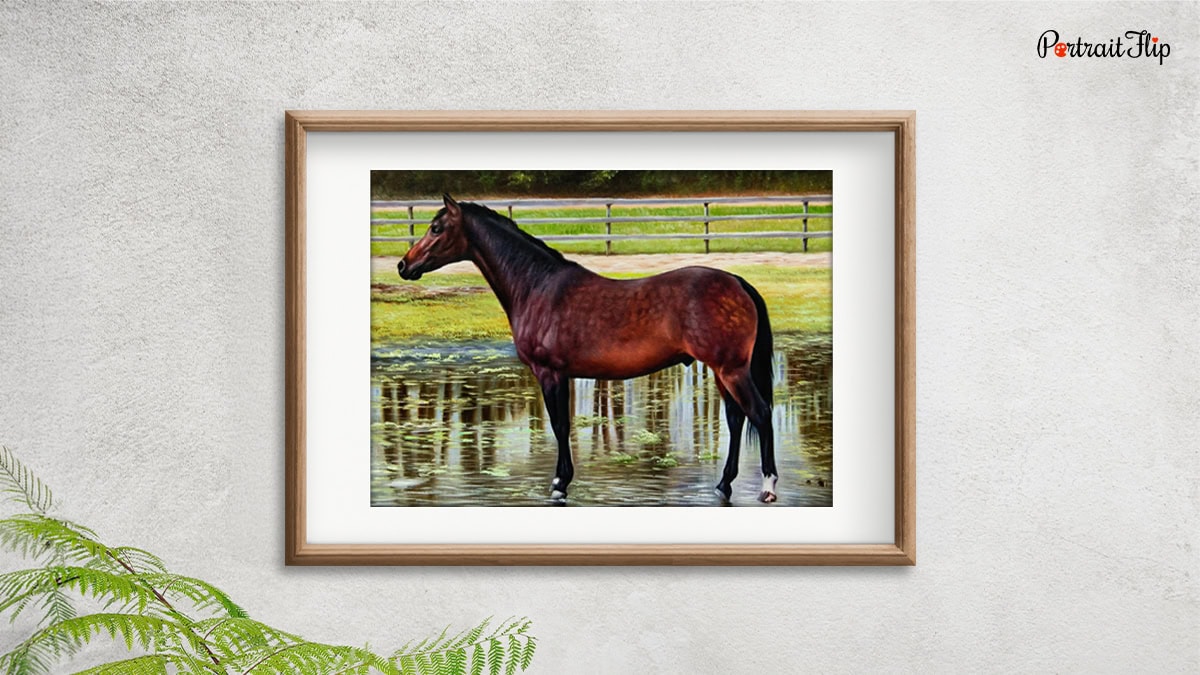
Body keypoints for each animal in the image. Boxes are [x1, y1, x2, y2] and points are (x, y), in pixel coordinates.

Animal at [397, 194, 778, 504]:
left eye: (435, 228)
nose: (404, 265)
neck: (537, 286)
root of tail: (737, 282)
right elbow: (563, 425)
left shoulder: (550, 373)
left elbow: (560, 426)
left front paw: (559, 483)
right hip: (721, 371)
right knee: (736, 418)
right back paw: (723, 484)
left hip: (731, 369)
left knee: (759, 413)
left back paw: (768, 487)